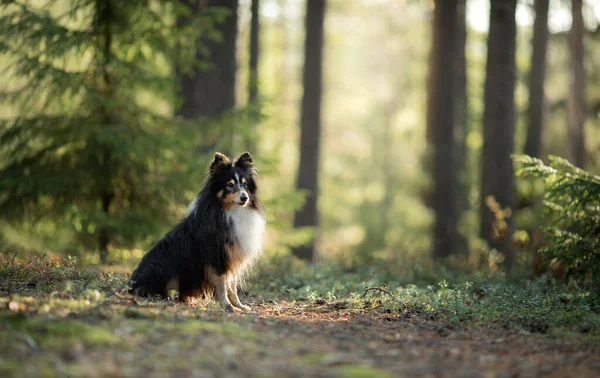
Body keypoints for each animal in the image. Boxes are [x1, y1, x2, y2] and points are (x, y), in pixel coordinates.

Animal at [130, 152, 264, 312]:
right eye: (230, 185)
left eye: (244, 185)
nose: (245, 198)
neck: (231, 211)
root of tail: (130, 286)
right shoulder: (216, 256)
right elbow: (222, 285)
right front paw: (227, 306)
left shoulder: (232, 255)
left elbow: (232, 286)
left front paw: (239, 306)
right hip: (159, 265)